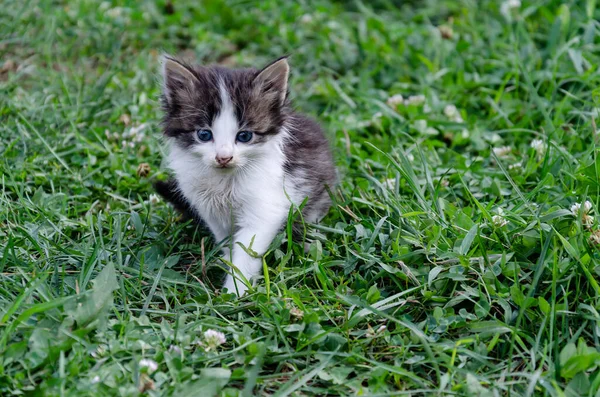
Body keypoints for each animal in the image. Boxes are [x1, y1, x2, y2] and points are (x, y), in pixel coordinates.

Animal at [156, 56, 338, 296]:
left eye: (244, 136)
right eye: (204, 134)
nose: (224, 157)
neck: (225, 181)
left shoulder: (265, 208)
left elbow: (247, 251)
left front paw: (234, 291)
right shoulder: (210, 210)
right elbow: (227, 241)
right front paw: (227, 261)